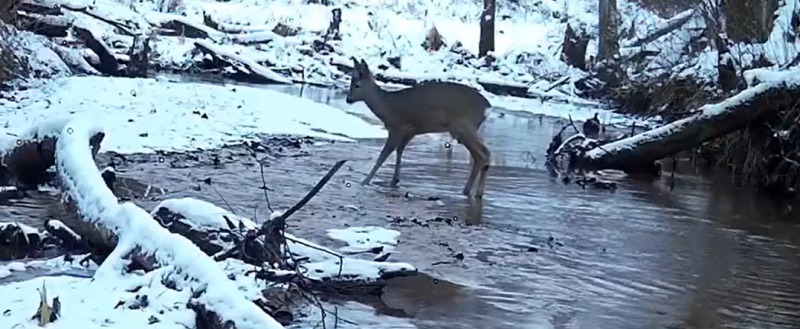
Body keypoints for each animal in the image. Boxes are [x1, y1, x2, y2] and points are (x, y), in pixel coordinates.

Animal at [346, 56, 494, 197]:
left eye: (357, 85)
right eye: (351, 82)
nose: (348, 99)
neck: (387, 106)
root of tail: (487, 108)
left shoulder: (397, 127)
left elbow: (383, 155)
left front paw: (365, 181)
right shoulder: (410, 131)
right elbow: (400, 151)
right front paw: (395, 180)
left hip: (463, 126)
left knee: (483, 154)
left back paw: (473, 192)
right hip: (463, 130)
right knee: (480, 156)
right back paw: (471, 191)